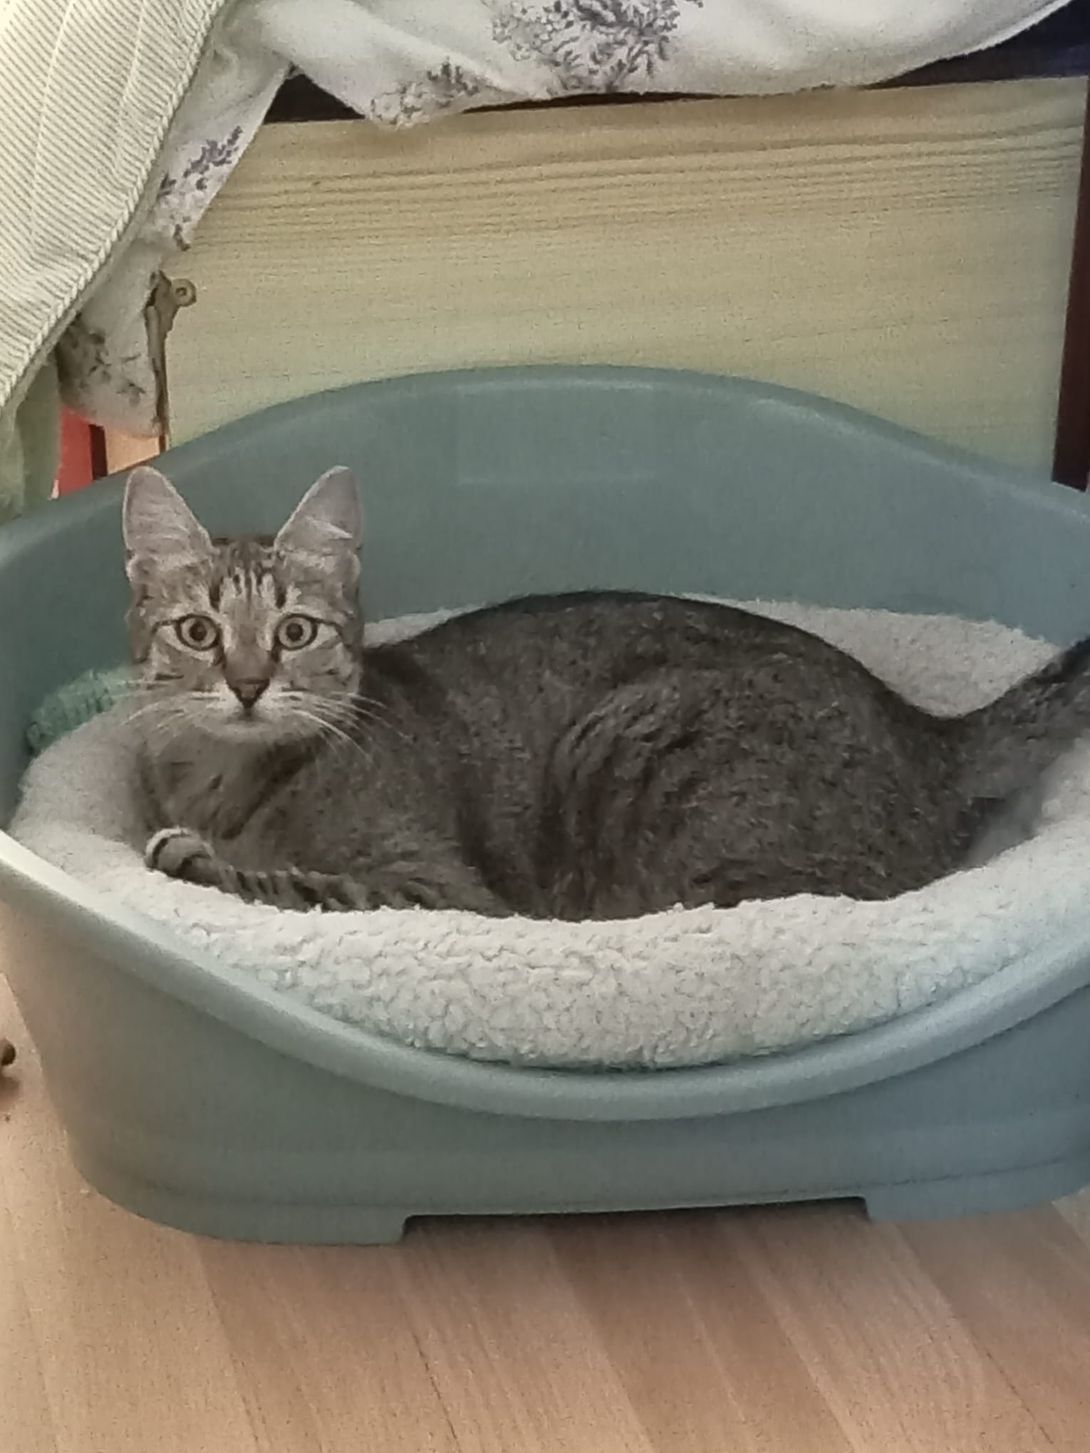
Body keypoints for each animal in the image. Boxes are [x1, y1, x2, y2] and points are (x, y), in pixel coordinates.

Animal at [124, 463, 1090, 920]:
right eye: (199, 632)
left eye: (294, 631)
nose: (249, 684)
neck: (225, 781)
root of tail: (928, 733)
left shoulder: (439, 890)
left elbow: (292, 884)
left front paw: (197, 858)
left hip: (633, 743)